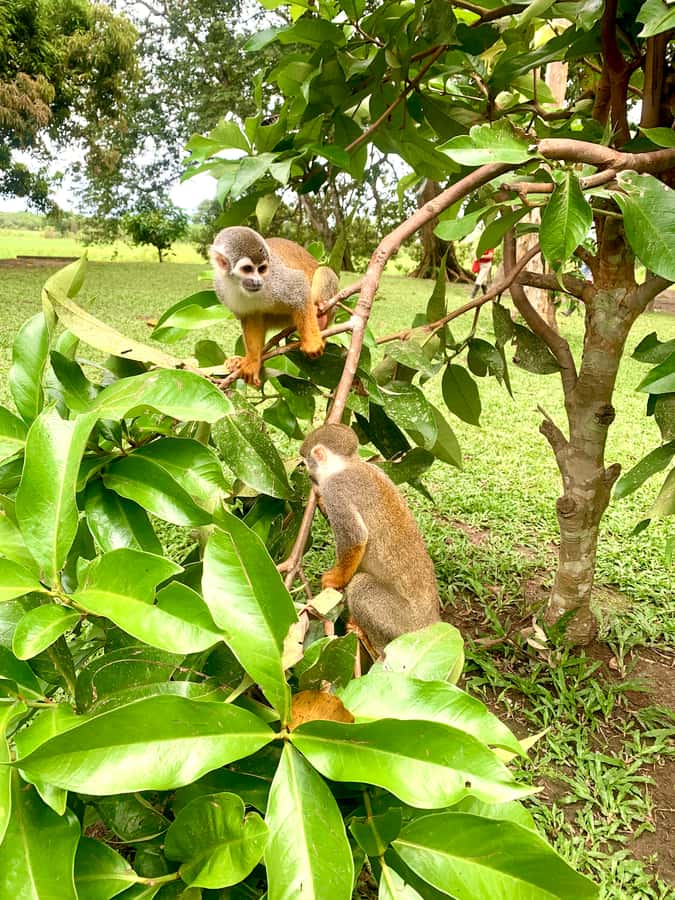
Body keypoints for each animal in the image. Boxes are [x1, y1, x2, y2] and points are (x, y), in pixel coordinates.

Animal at [210, 226, 339, 387]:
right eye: (247, 269)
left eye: (262, 269)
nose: (257, 282)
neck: (237, 285)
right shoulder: (220, 287)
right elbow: (251, 318)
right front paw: (252, 362)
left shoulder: (274, 280)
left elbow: (299, 285)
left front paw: (312, 342)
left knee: (324, 272)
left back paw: (320, 319)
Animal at [300, 424, 441, 656]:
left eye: (305, 461)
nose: (309, 475)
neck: (349, 464)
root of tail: (430, 623)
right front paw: (318, 500)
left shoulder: (335, 489)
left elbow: (356, 539)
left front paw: (334, 580)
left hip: (402, 623)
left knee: (361, 586)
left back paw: (372, 644)